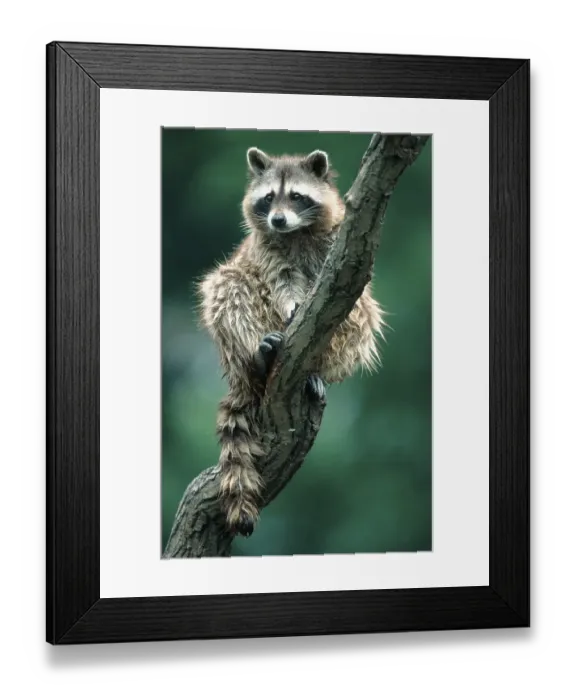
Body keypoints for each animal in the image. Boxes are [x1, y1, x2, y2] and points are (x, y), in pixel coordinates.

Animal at [198, 147, 385, 536]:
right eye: (269, 198)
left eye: (297, 196)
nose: (278, 220)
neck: (297, 232)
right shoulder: (268, 251)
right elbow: (280, 282)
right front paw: (289, 305)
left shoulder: (337, 246)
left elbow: (353, 295)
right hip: (237, 319)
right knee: (228, 286)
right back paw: (258, 357)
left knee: (365, 314)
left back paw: (316, 370)